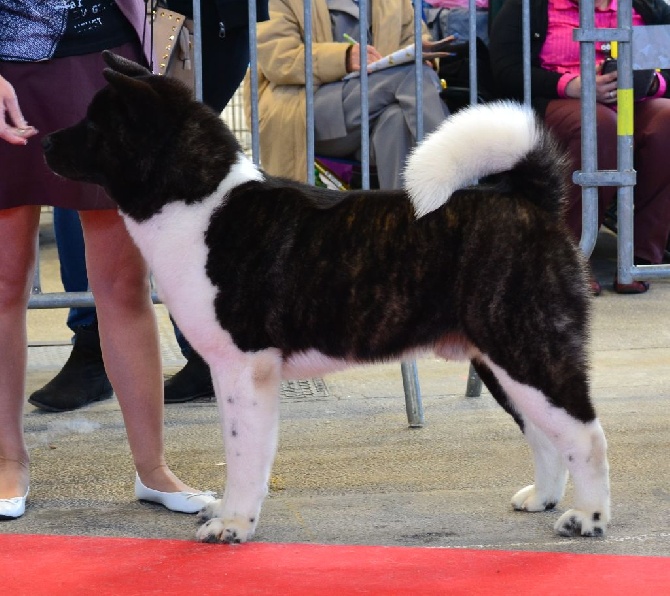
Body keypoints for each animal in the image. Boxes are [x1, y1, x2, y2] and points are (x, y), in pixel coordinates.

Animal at [40, 52, 608, 544]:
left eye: (94, 124)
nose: (43, 142)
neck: (200, 204)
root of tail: (532, 200)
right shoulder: (230, 371)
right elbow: (242, 451)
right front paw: (232, 513)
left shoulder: (246, 368)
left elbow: (244, 456)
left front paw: (234, 525)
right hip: (499, 361)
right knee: (546, 434)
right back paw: (544, 499)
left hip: (528, 350)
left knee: (585, 435)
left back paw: (588, 518)